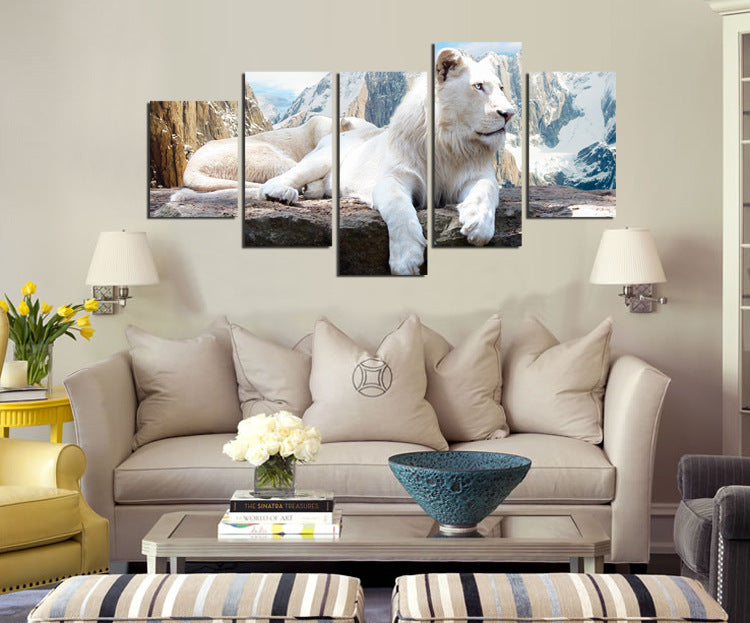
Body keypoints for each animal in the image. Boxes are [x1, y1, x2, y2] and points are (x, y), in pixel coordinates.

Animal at [260, 48, 516, 275]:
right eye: (478, 86)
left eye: (502, 87)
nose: (509, 113)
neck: (449, 144)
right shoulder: (395, 177)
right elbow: (400, 209)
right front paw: (406, 259)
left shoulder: (477, 175)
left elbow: (486, 190)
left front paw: (478, 225)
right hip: (321, 158)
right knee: (285, 177)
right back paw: (281, 193)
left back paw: (313, 191)